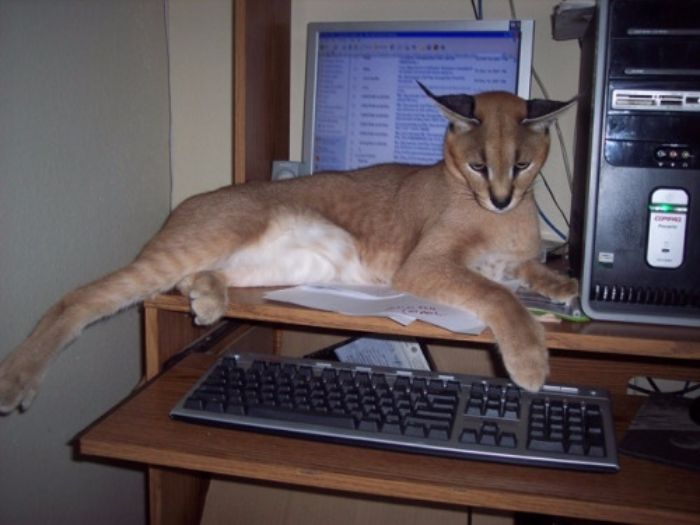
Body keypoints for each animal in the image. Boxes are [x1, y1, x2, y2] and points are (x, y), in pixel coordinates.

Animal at [0, 83, 578, 414]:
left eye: (522, 164)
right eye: (479, 165)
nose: (501, 198)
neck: (505, 217)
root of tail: (186, 203)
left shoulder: (510, 258)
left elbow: (525, 271)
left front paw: (563, 285)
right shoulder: (427, 264)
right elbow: (499, 296)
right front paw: (530, 362)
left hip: (250, 264)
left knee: (188, 278)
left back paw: (208, 299)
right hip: (206, 239)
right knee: (82, 296)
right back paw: (16, 379)